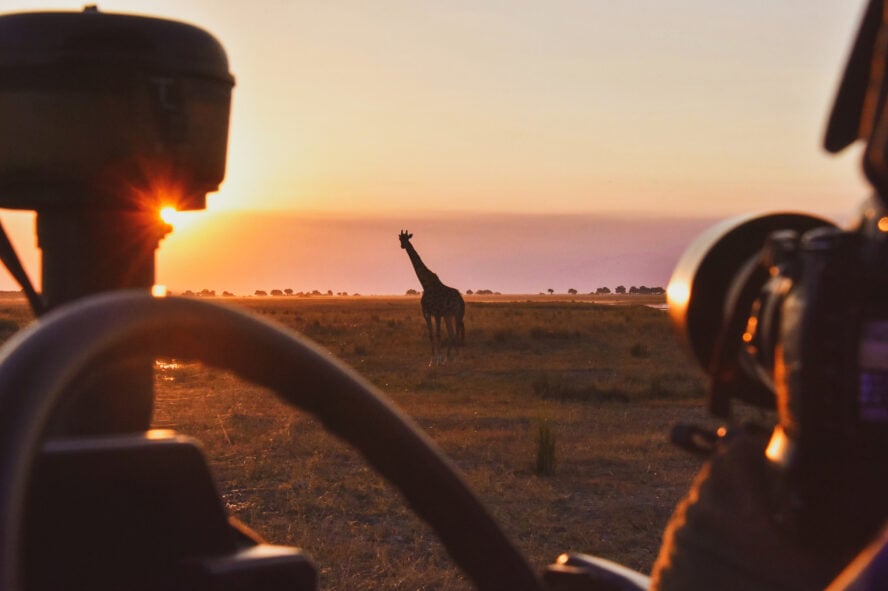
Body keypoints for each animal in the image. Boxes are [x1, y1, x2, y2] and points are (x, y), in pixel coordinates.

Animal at [398, 230, 464, 366]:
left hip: (457, 314)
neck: (425, 284)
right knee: (451, 334)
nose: (402, 246)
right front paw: (432, 360)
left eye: (406, 238)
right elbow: (431, 335)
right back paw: (448, 358)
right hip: (449, 315)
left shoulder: (437, 313)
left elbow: (438, 334)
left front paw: (438, 360)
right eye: (400, 238)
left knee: (456, 332)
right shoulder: (427, 313)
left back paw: (456, 357)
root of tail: (461, 299)